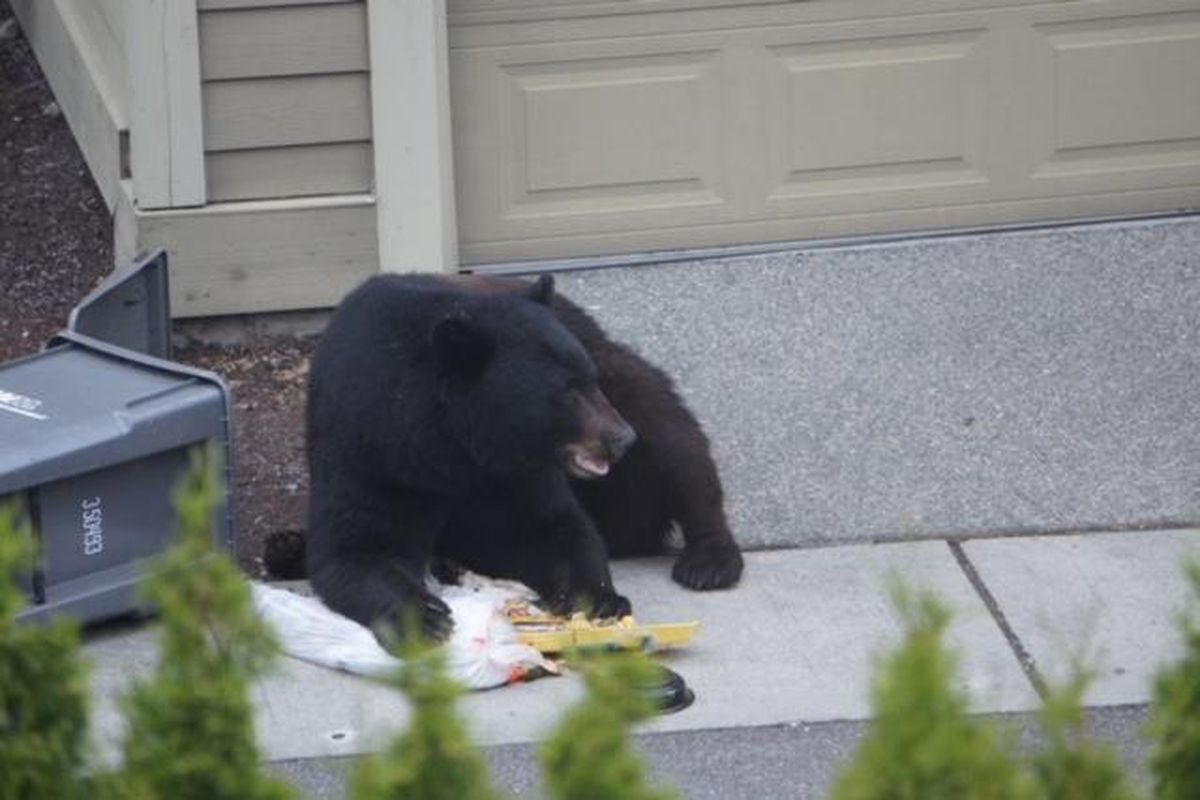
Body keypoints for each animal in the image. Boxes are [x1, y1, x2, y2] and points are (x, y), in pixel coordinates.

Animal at [297, 273, 739, 638]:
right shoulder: (372, 451)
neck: (450, 449)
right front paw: (424, 615)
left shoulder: (513, 472)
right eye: (566, 390)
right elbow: (358, 546)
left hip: (619, 375)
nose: (621, 438)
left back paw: (709, 560)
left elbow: (546, 527)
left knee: (673, 442)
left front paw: (597, 597)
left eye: (588, 380)